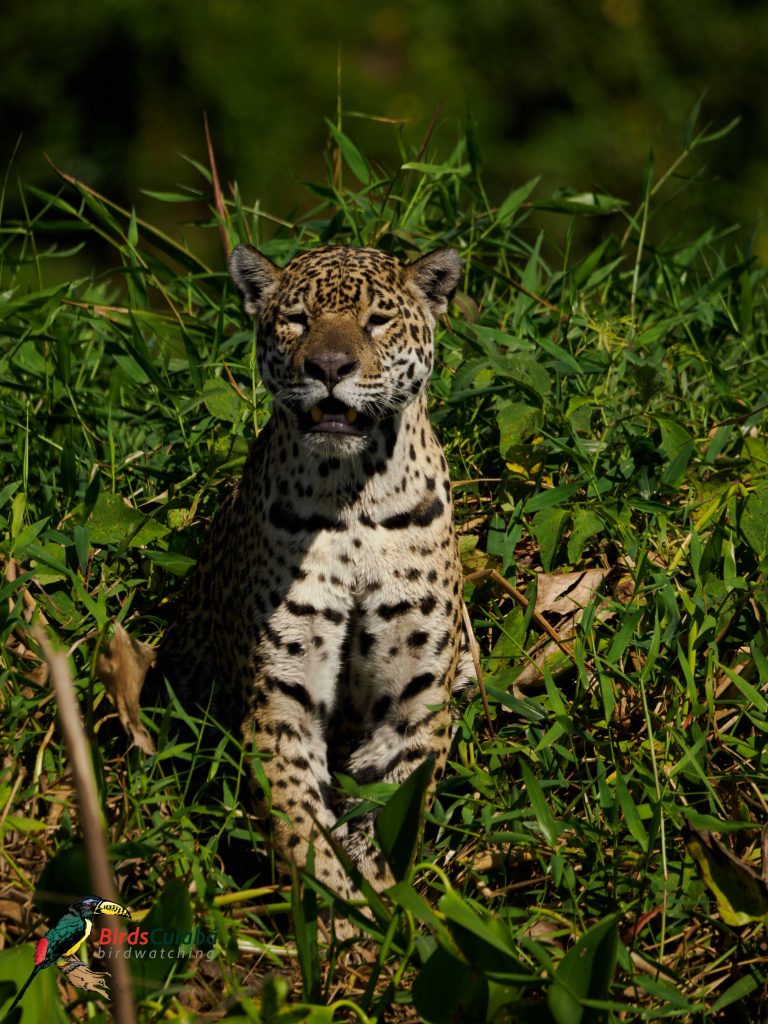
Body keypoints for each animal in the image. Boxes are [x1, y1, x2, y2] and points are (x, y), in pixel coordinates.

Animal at [157, 242, 470, 925]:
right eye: (296, 319)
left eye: (377, 320)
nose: (329, 366)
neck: (351, 495)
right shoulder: (280, 698)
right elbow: (299, 821)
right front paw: (336, 916)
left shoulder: (416, 697)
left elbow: (391, 811)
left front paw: (382, 907)